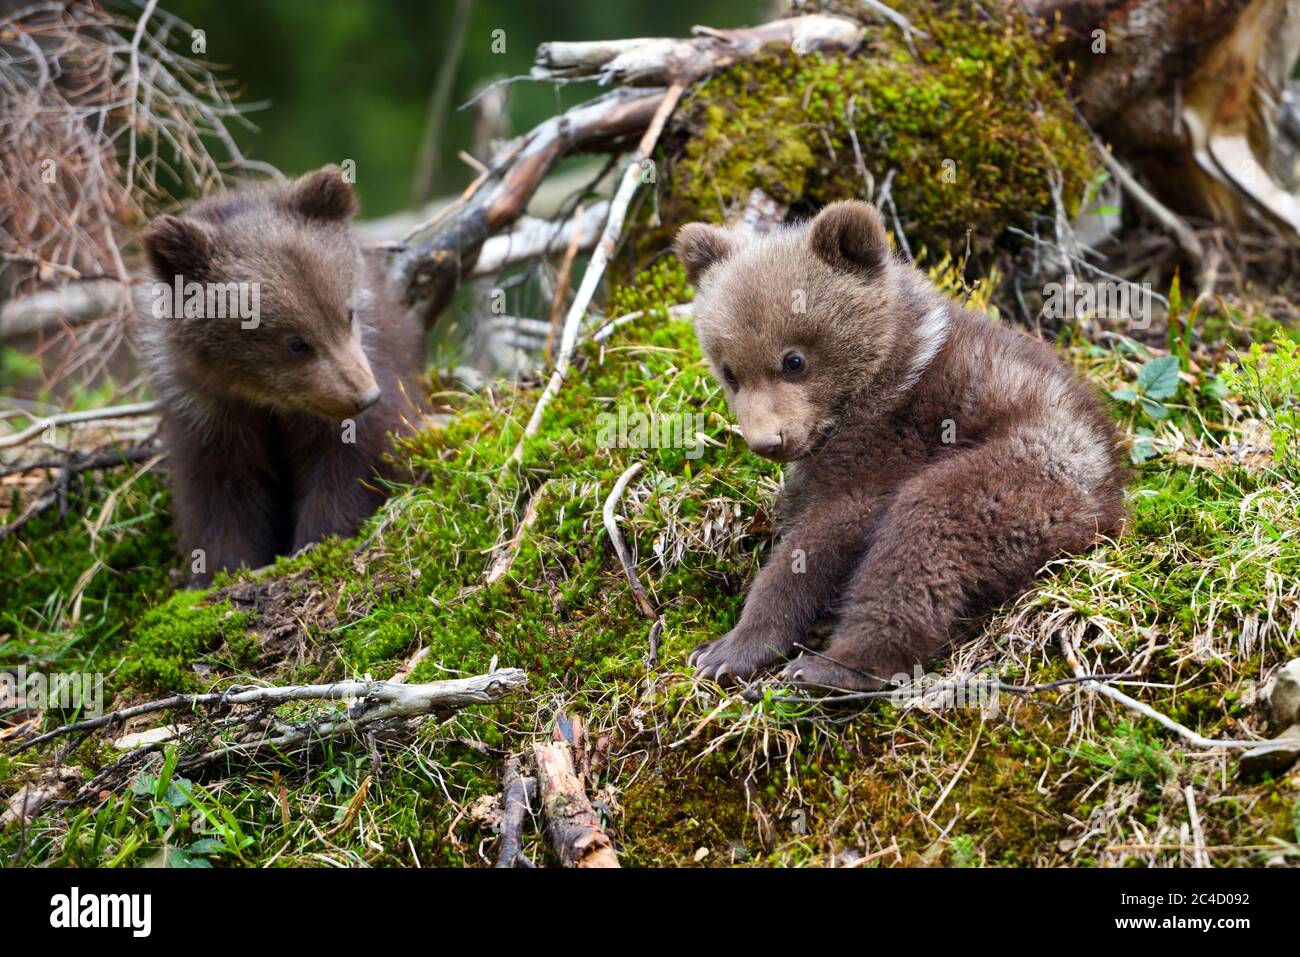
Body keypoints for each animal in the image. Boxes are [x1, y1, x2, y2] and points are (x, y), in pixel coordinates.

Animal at [133, 165, 428, 585]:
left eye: (347, 313)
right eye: (295, 342)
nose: (365, 395)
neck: (263, 399)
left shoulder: (365, 371)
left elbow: (350, 459)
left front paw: (318, 538)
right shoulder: (207, 412)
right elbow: (219, 491)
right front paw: (222, 568)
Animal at [674, 200, 1127, 693]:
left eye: (794, 360)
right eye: (730, 371)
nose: (768, 440)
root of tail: (1108, 505)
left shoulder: (886, 446)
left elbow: (819, 541)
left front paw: (727, 649)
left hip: (1031, 474)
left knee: (928, 530)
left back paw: (831, 667)